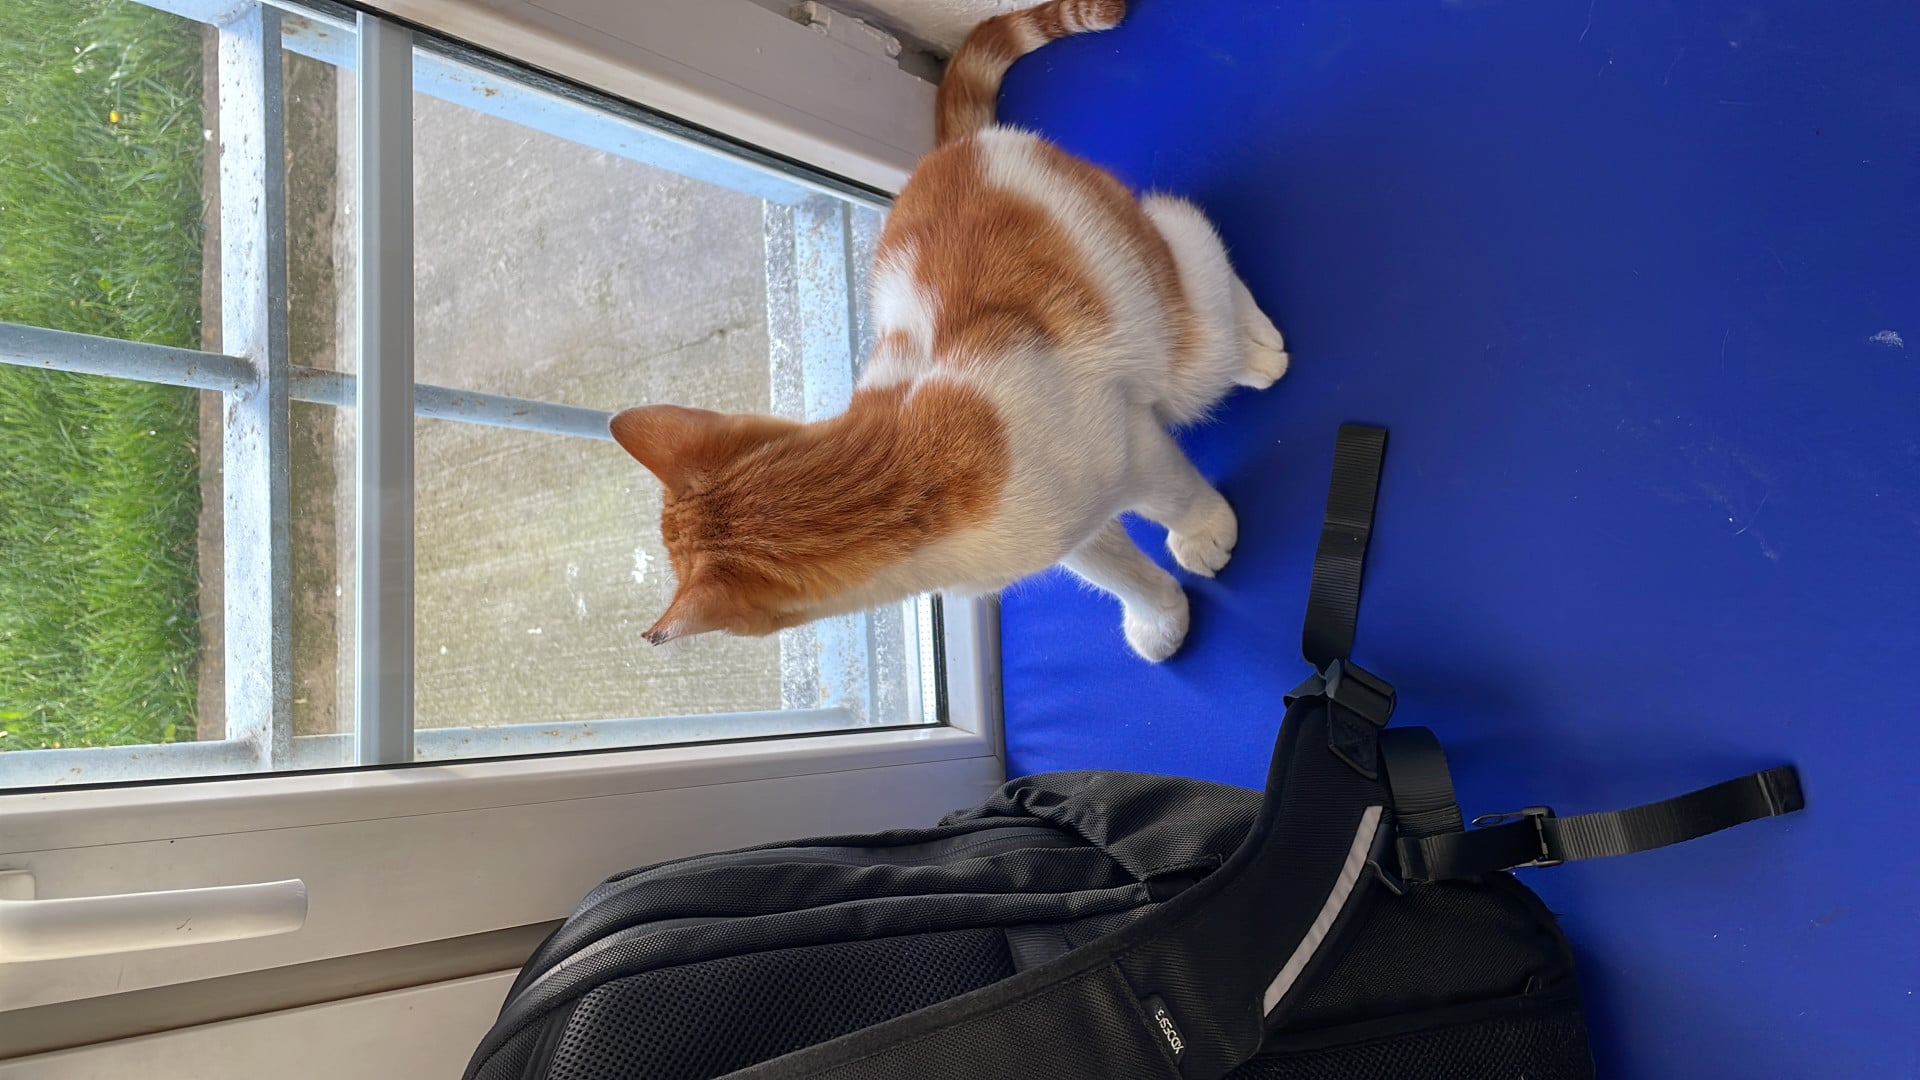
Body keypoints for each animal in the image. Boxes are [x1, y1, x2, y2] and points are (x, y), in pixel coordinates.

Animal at [609, 0, 1288, 662]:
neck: (903, 480)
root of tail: (954, 147)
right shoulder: (1069, 531)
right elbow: (1116, 570)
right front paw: (1161, 617)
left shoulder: (1128, 443)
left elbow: (1174, 494)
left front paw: (1203, 530)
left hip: (1165, 327)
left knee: (1189, 242)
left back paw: (1256, 349)